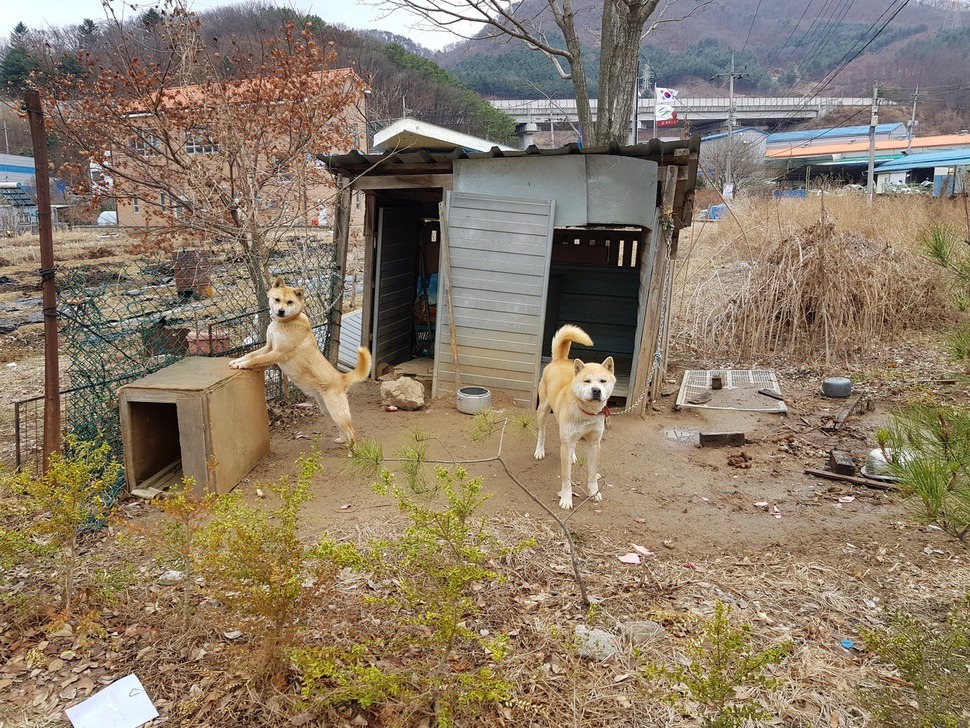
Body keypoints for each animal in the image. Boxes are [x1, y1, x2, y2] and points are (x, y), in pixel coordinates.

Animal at [229, 276, 372, 446]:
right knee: (344, 430)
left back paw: (352, 450)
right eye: (277, 300)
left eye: (289, 302)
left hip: (337, 412)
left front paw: (242, 365)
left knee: (352, 431)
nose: (281, 311)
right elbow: (251, 355)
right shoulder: (268, 347)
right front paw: (237, 361)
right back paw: (342, 441)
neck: (286, 323)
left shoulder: (277, 353)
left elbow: (256, 359)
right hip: (328, 411)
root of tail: (342, 377)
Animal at [532, 328, 616, 510]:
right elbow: (566, 479)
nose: (596, 390)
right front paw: (566, 499)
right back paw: (540, 451)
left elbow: (592, 474)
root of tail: (559, 360)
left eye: (603, 381)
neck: (586, 413)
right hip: (543, 411)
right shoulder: (565, 444)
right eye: (587, 381)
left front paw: (593, 492)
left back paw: (573, 456)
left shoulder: (594, 444)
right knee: (542, 433)